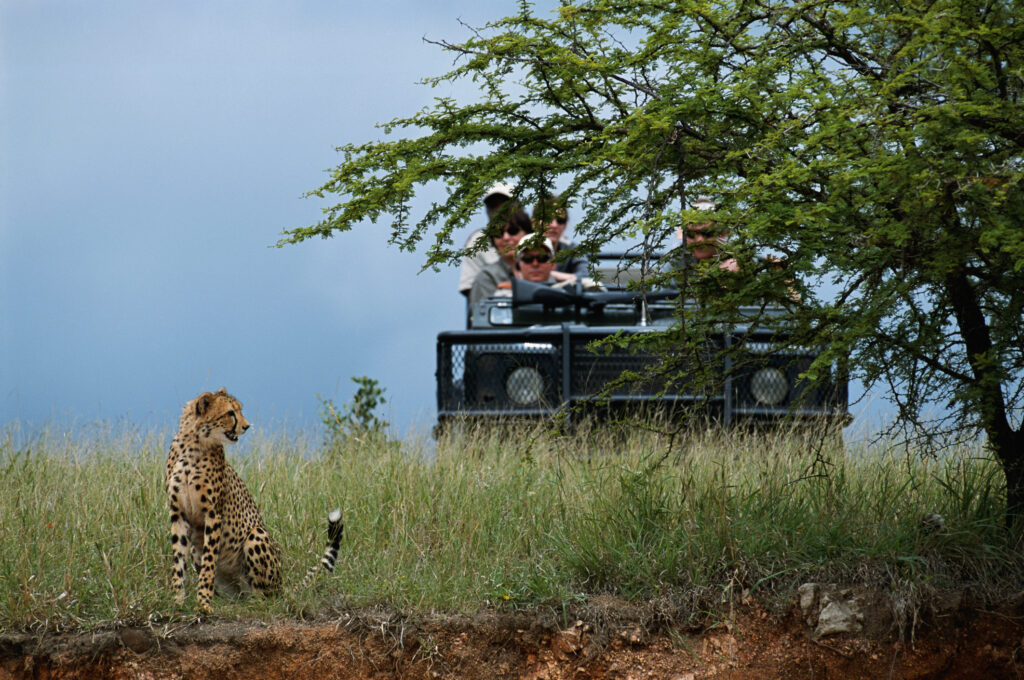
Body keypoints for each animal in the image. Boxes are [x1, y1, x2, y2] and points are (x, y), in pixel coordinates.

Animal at [163, 387, 344, 610]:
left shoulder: (213, 514)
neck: (194, 445)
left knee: (265, 596)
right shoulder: (178, 513)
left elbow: (209, 564)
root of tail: (282, 585)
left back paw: (256, 602)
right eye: (230, 413)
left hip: (256, 535)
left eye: (240, 410)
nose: (247, 426)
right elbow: (178, 560)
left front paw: (203, 603)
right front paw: (177, 601)